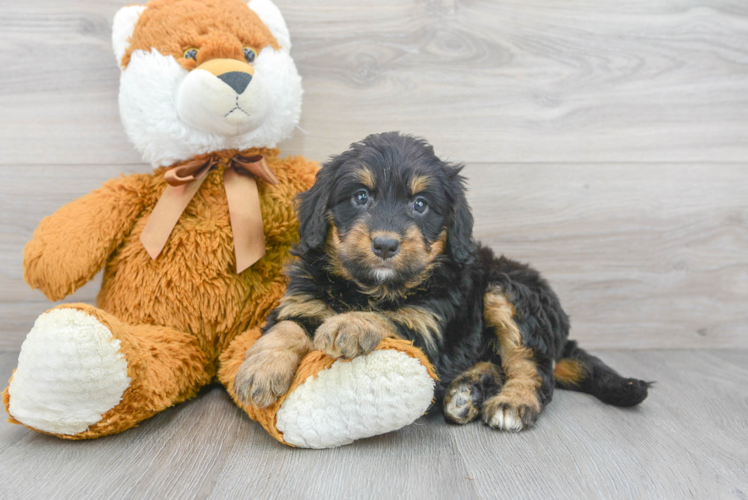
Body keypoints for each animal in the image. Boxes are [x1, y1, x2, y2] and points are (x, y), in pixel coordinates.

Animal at [234, 133, 648, 430]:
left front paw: (349, 324)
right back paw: (466, 393)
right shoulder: (302, 301)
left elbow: (389, 316)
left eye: (420, 205)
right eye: (361, 197)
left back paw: (511, 402)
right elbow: (286, 328)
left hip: (507, 292)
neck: (371, 287)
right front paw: (259, 371)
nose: (385, 244)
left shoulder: (427, 326)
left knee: (531, 368)